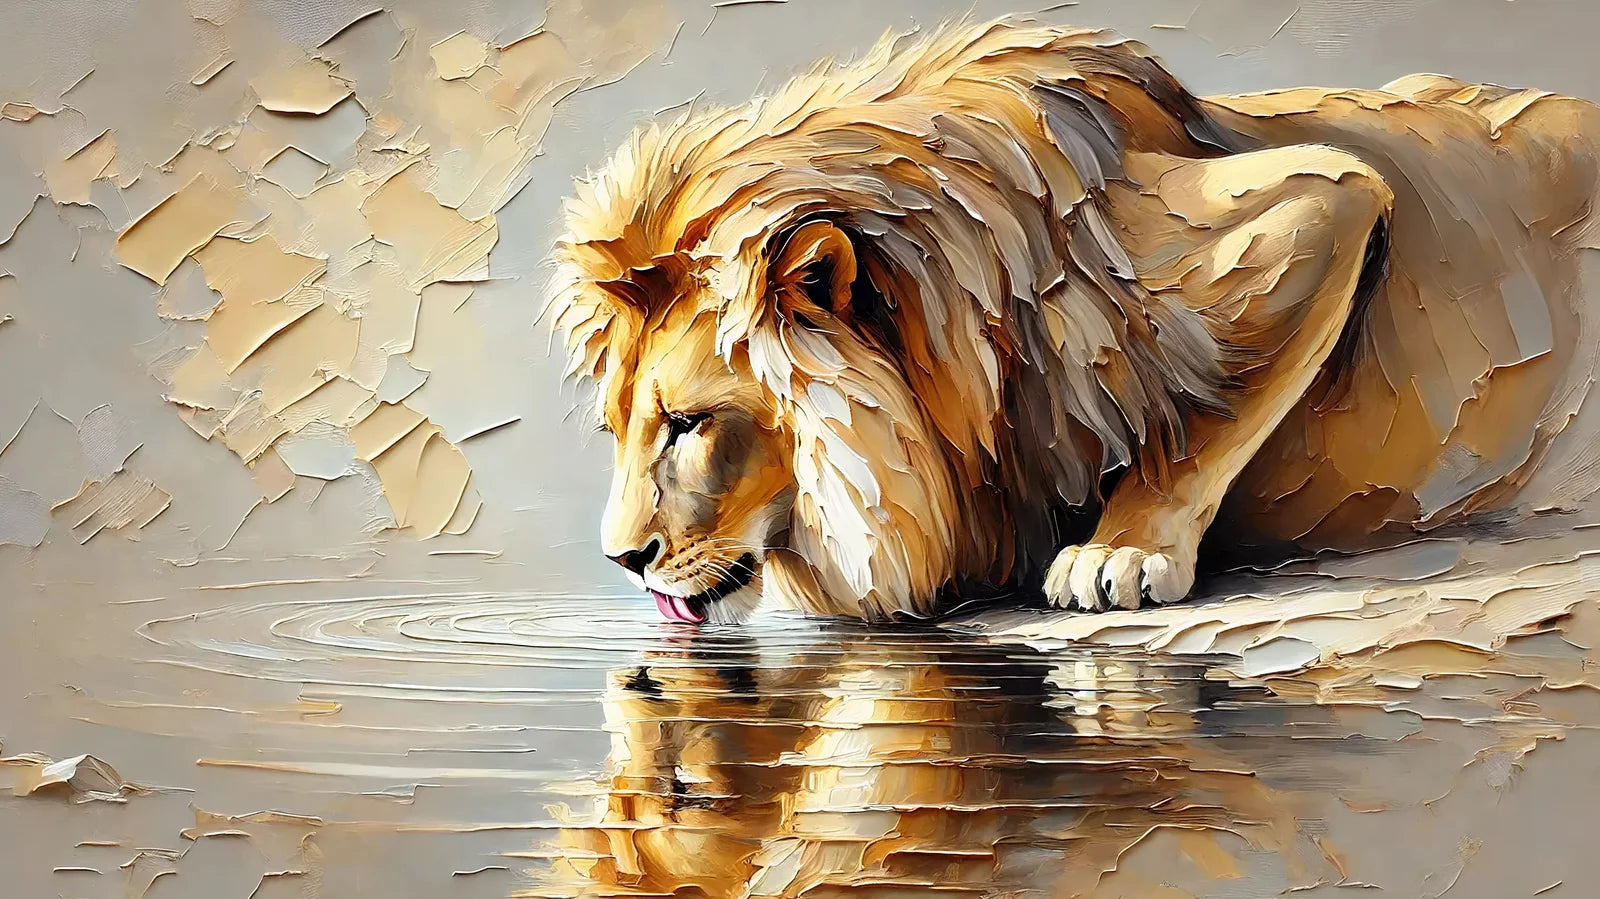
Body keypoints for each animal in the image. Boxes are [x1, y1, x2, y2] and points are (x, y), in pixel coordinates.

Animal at [547, 18, 1600, 624]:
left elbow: (1201, 422)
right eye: (619, 430)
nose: (621, 561)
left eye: (689, 423)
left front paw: (1117, 552)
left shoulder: (1322, 200)